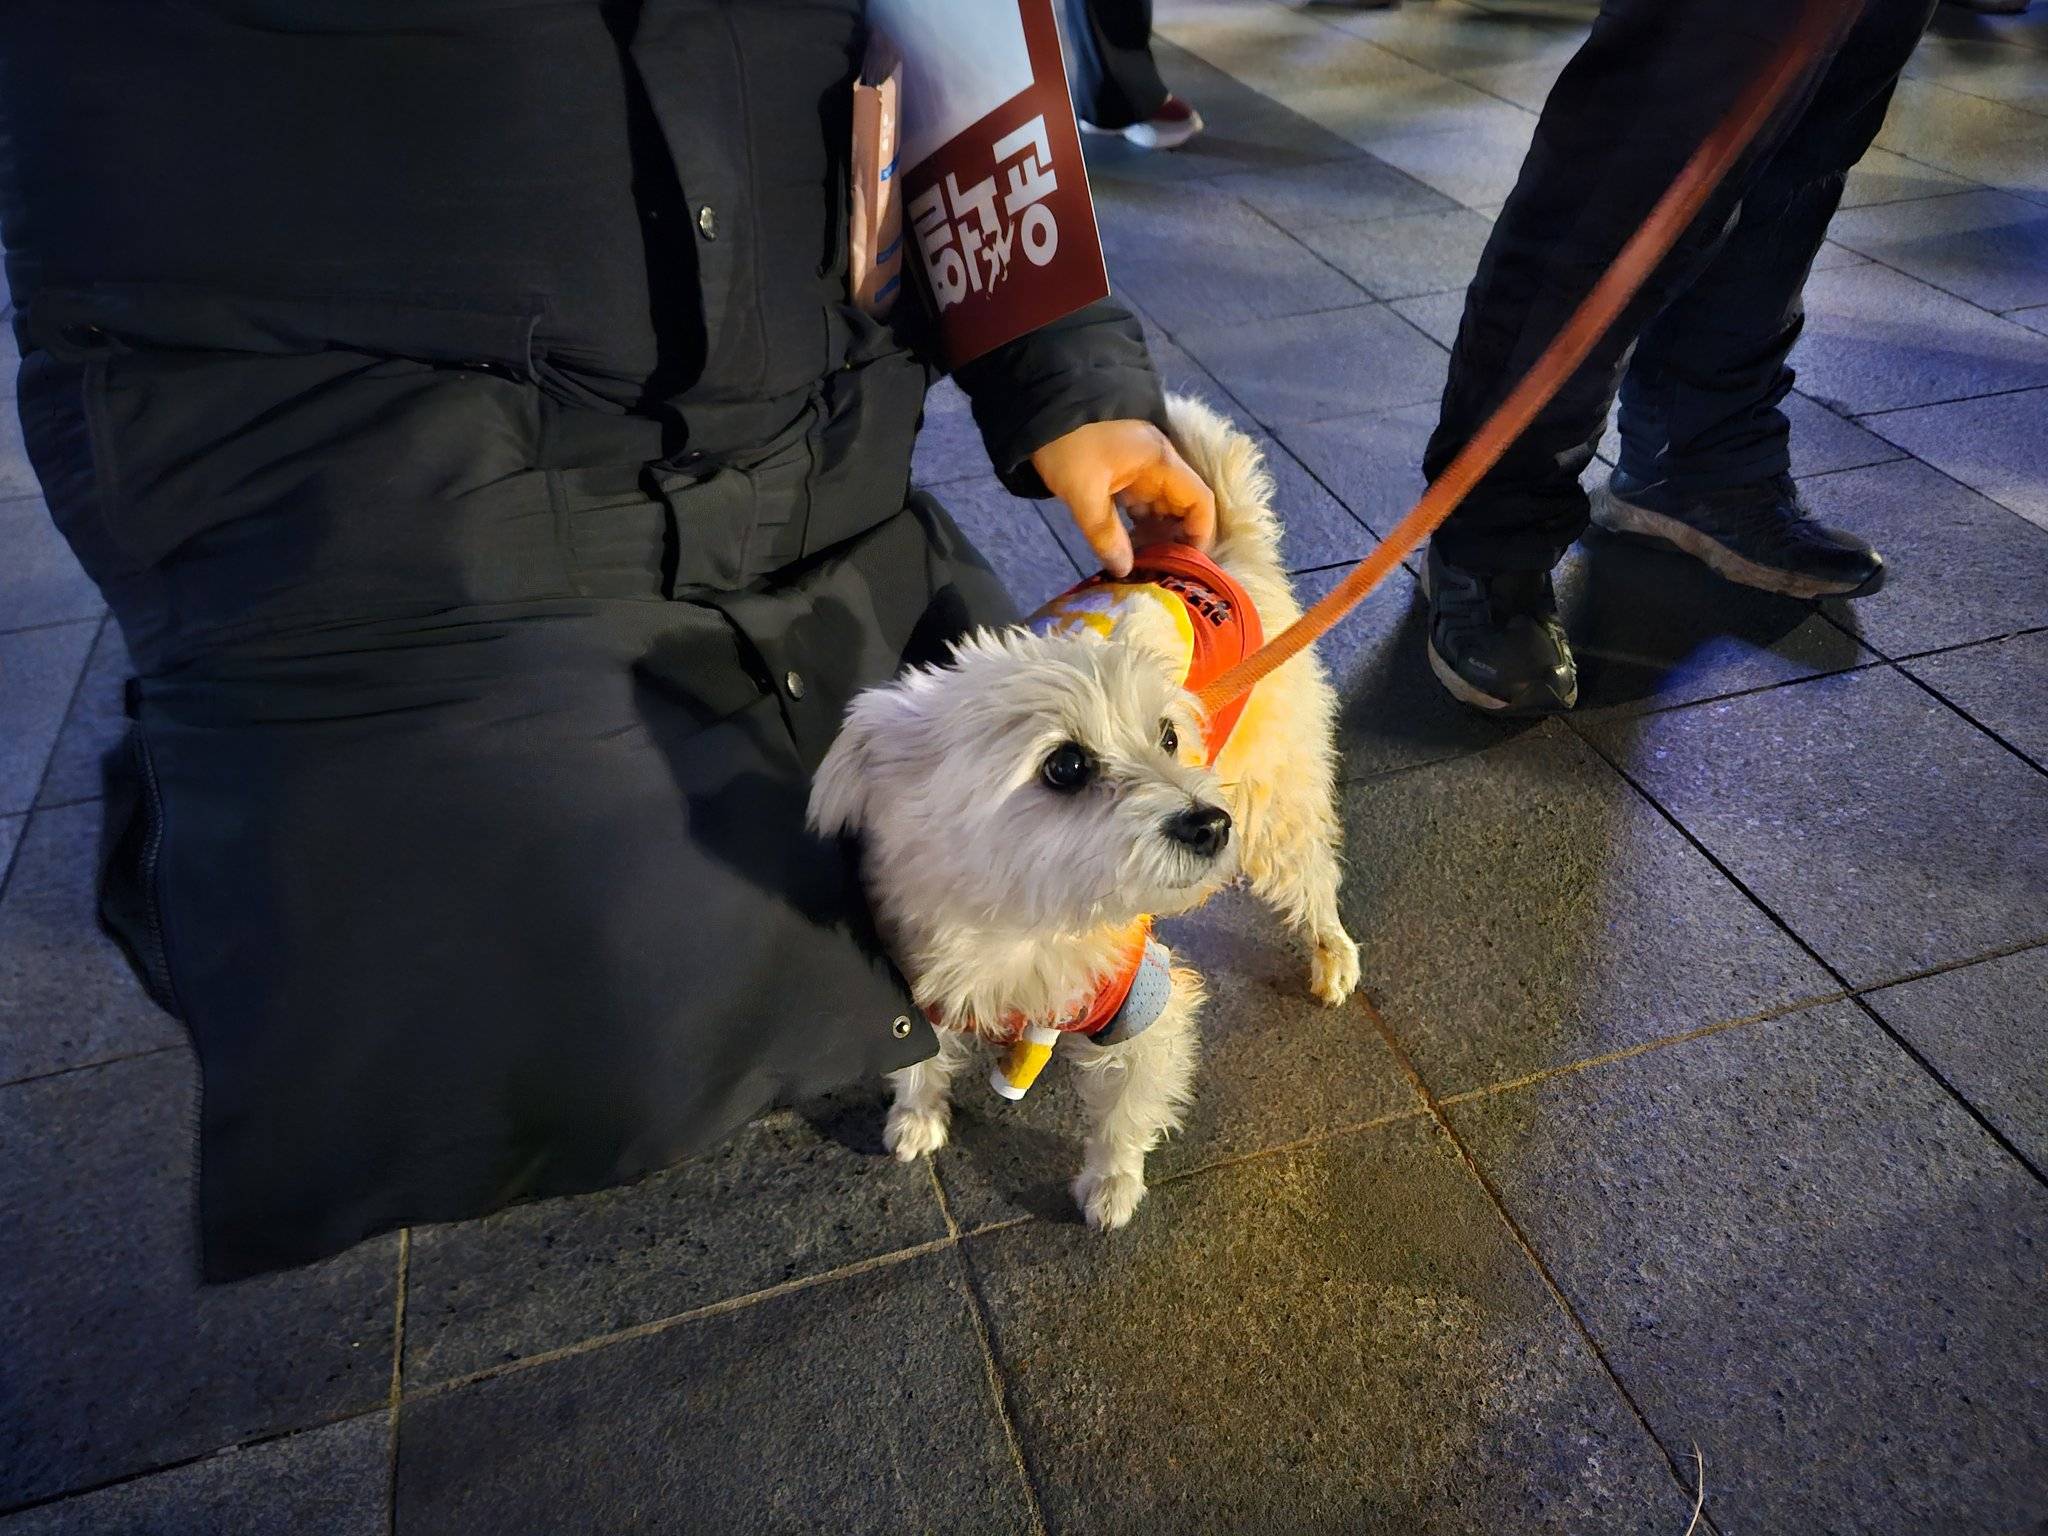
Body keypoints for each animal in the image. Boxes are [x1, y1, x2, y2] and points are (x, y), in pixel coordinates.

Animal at [802, 393, 1359, 1228]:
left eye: (1169, 736)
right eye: (1064, 766)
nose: (1208, 824)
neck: (1020, 925)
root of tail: (1224, 551)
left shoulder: (1148, 1005)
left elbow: (1126, 1113)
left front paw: (1110, 1188)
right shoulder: (918, 978)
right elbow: (922, 1059)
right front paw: (916, 1115)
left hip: (1274, 805)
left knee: (1316, 877)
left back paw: (1331, 957)